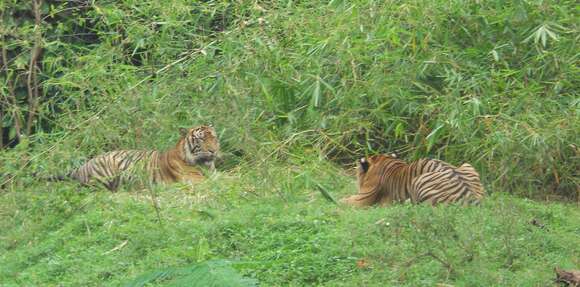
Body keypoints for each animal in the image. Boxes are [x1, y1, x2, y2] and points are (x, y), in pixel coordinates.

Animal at [44, 125, 220, 191]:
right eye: (201, 140)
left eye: (214, 138)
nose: (213, 151)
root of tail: (83, 166)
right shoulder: (194, 178)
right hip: (105, 174)